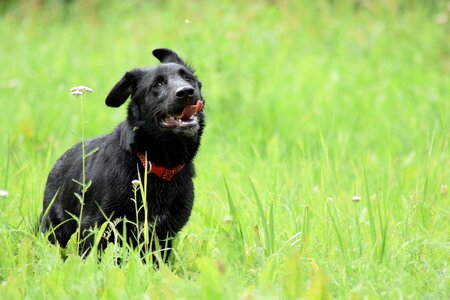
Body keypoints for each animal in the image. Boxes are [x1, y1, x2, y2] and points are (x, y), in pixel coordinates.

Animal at [40, 48, 206, 258]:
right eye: (157, 84)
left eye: (188, 78)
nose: (186, 91)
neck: (153, 164)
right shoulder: (94, 228)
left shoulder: (162, 238)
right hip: (55, 228)